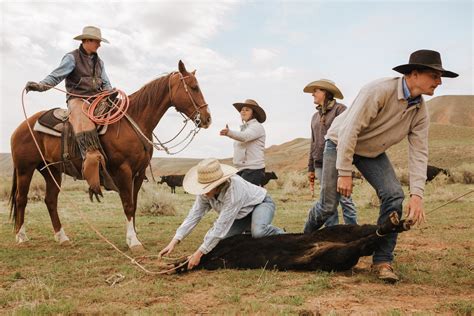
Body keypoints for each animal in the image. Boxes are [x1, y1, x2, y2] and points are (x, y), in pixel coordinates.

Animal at [7, 60, 209, 251]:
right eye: (194, 87)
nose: (207, 118)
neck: (134, 122)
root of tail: (22, 126)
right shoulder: (123, 170)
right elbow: (128, 204)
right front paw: (134, 242)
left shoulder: (139, 172)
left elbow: (134, 204)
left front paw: (133, 235)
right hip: (25, 169)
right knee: (21, 199)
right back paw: (21, 237)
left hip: (51, 170)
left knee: (50, 200)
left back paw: (62, 237)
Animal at [173, 212, 412, 274]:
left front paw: (178, 265)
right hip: (336, 253)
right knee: (365, 237)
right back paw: (397, 223)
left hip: (340, 243)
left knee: (366, 239)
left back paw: (395, 222)